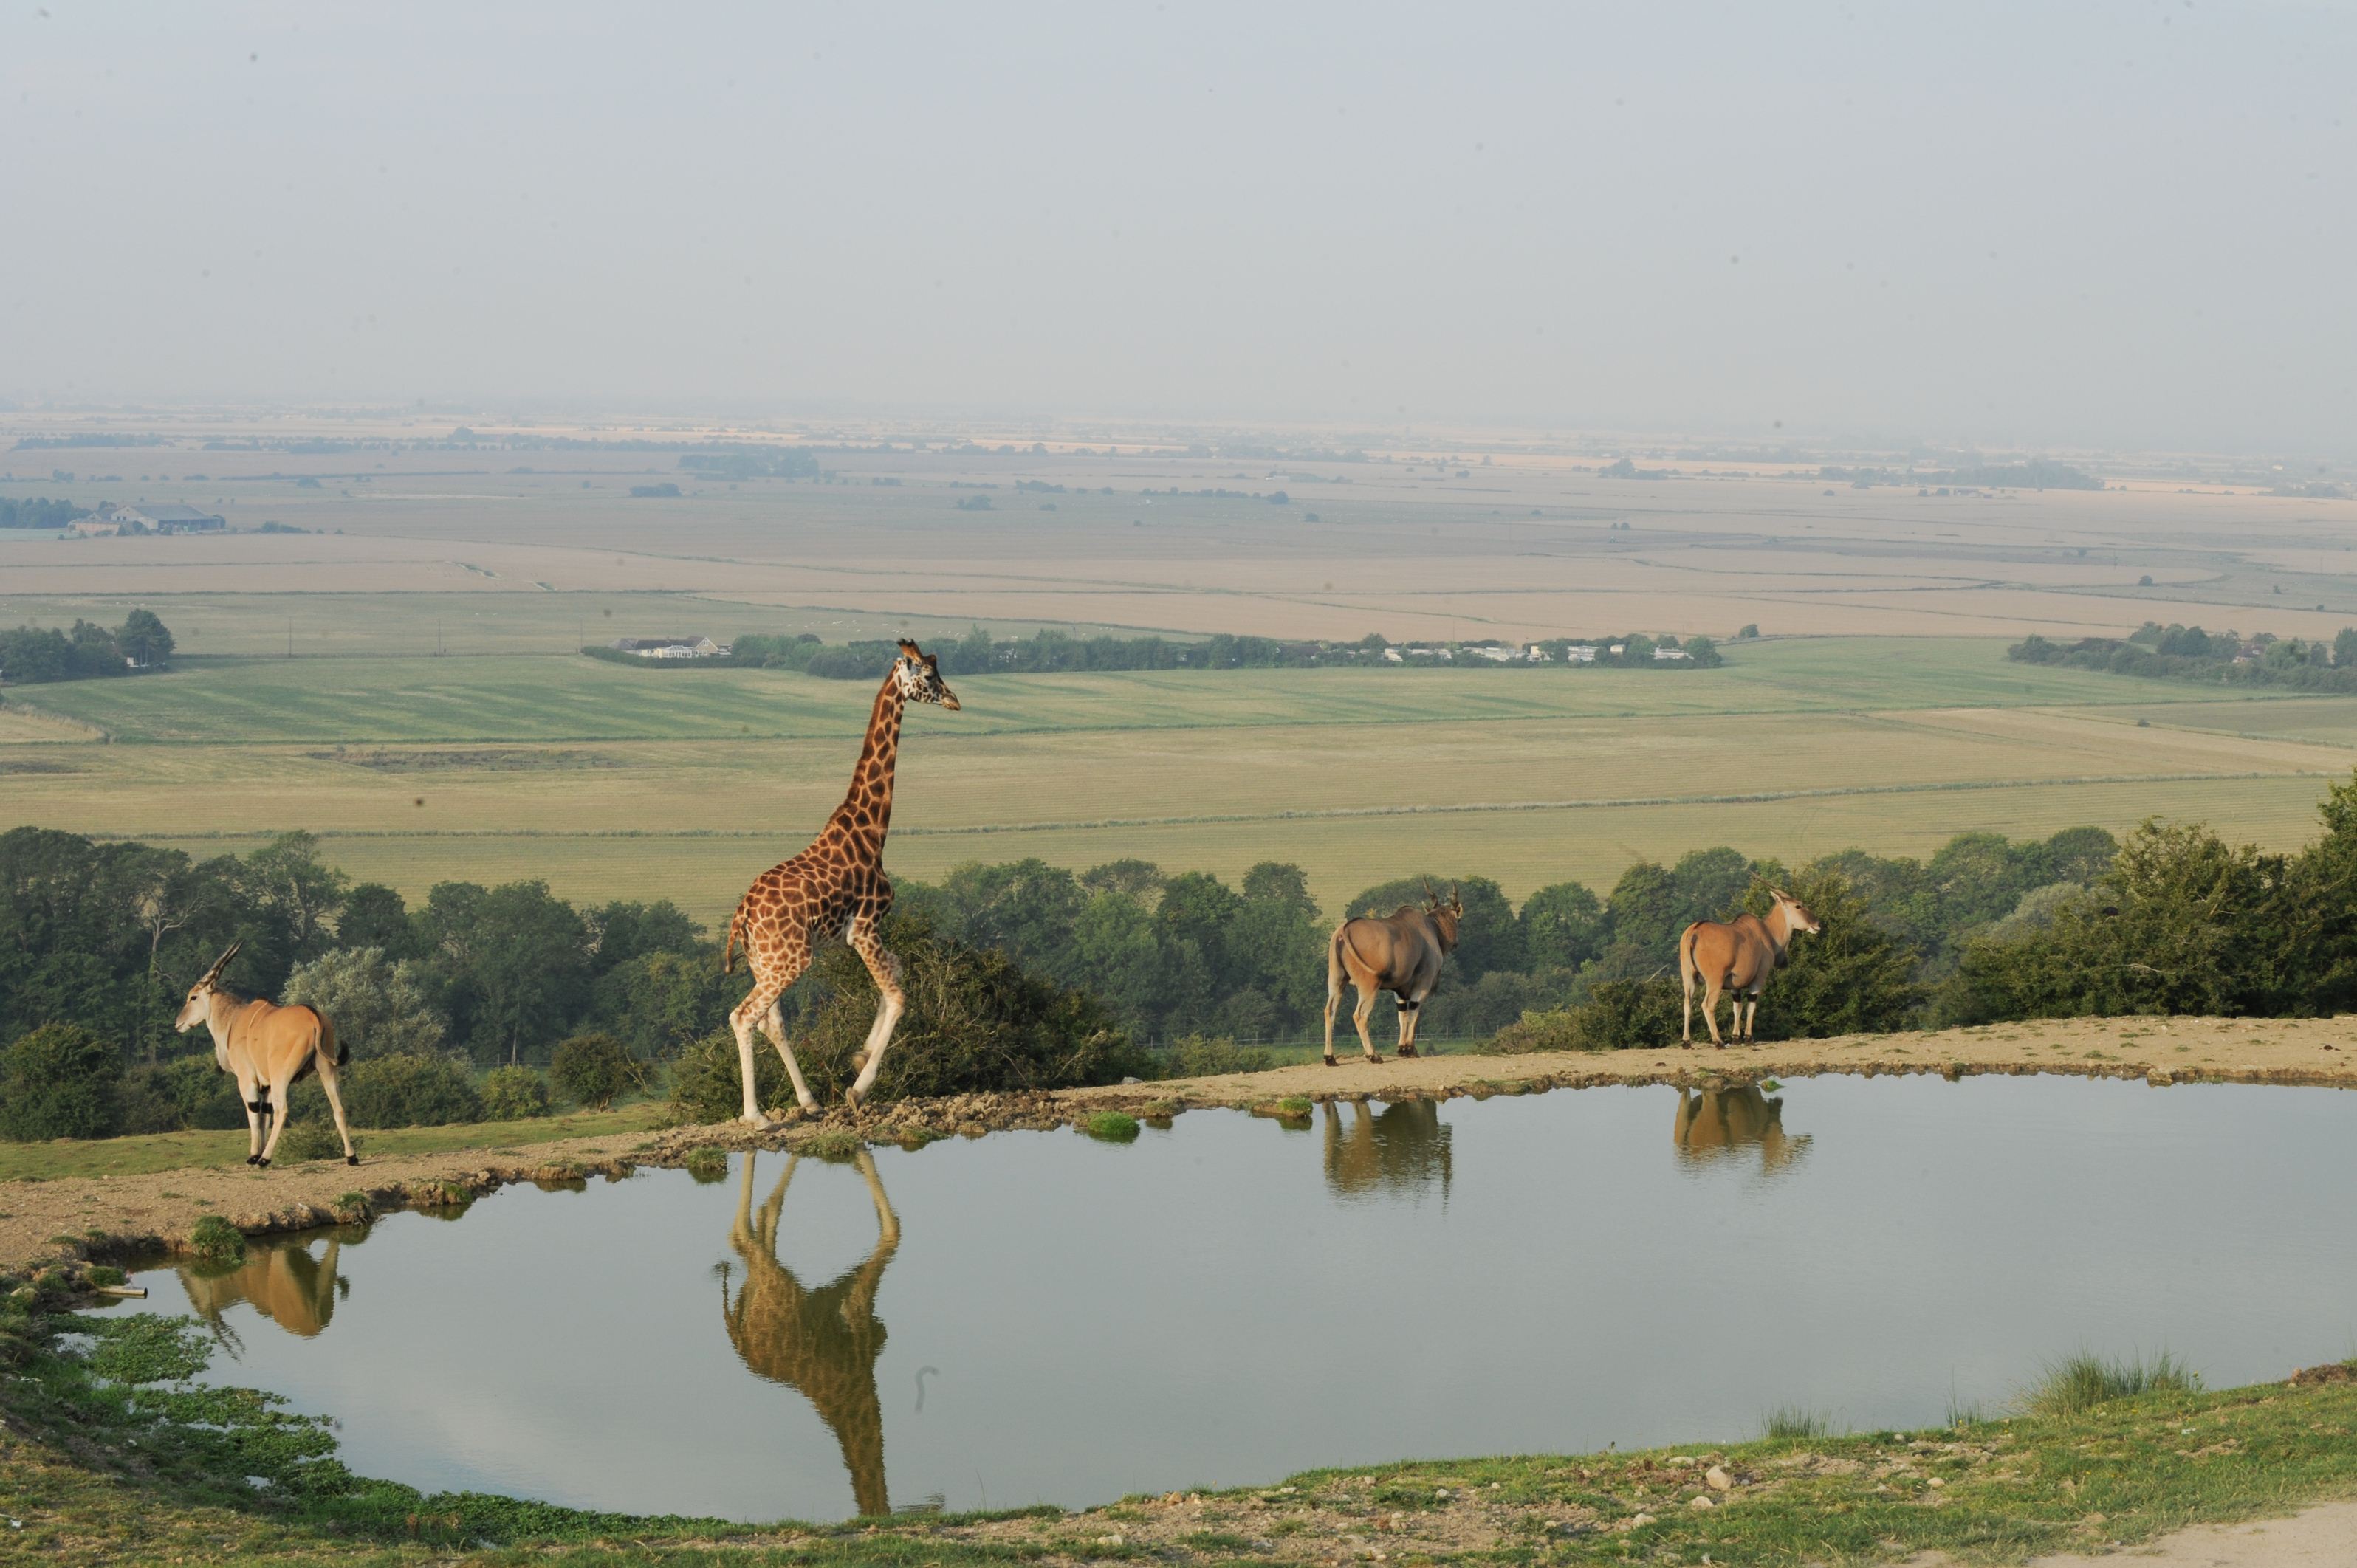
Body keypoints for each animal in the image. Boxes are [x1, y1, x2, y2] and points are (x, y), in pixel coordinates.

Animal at [722, 639, 960, 1122]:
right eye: (928, 675)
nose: (954, 700)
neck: (871, 831)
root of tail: (744, 914)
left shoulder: (865, 933)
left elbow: (897, 977)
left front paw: (859, 1056)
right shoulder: (865, 928)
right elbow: (899, 995)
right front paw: (858, 1088)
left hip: (765, 961)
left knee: (771, 1021)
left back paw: (809, 1101)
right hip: (791, 960)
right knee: (744, 1016)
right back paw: (756, 1118)